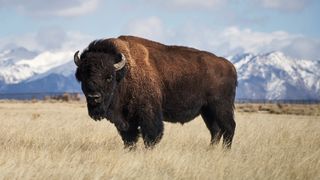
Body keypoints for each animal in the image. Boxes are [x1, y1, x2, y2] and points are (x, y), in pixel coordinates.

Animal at [74, 35, 236, 149]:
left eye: (109, 77)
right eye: (84, 76)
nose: (94, 97)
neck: (124, 73)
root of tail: (230, 66)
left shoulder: (149, 114)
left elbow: (151, 137)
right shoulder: (127, 121)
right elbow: (129, 139)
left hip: (221, 107)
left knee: (228, 128)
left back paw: (225, 151)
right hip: (207, 110)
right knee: (215, 131)